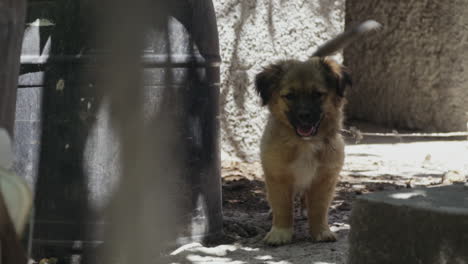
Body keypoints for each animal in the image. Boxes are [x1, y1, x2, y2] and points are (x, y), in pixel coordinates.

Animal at [256, 20, 380, 245]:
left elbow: (319, 208)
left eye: (318, 95)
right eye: (290, 96)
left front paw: (321, 231)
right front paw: (280, 233)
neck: (304, 143)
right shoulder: (278, 175)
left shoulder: (325, 178)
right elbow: (282, 206)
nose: (305, 116)